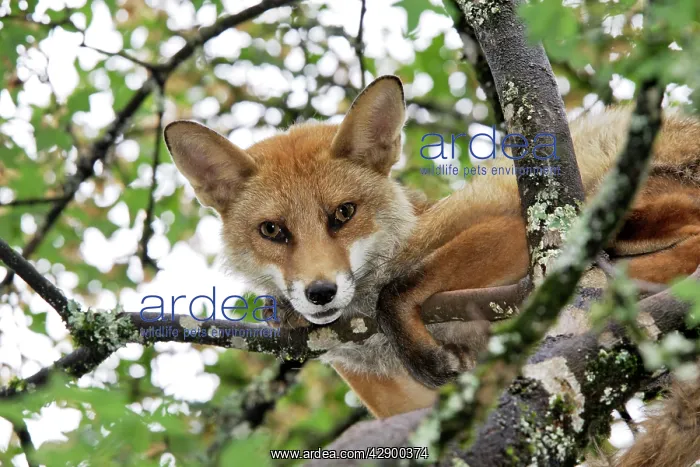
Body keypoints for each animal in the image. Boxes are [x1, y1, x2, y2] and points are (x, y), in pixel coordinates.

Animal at [164, 75, 700, 462]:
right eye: (273, 231)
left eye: (343, 214)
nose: (319, 292)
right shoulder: (405, 409)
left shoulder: (508, 225)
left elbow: (400, 287)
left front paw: (419, 344)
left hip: (604, 194)